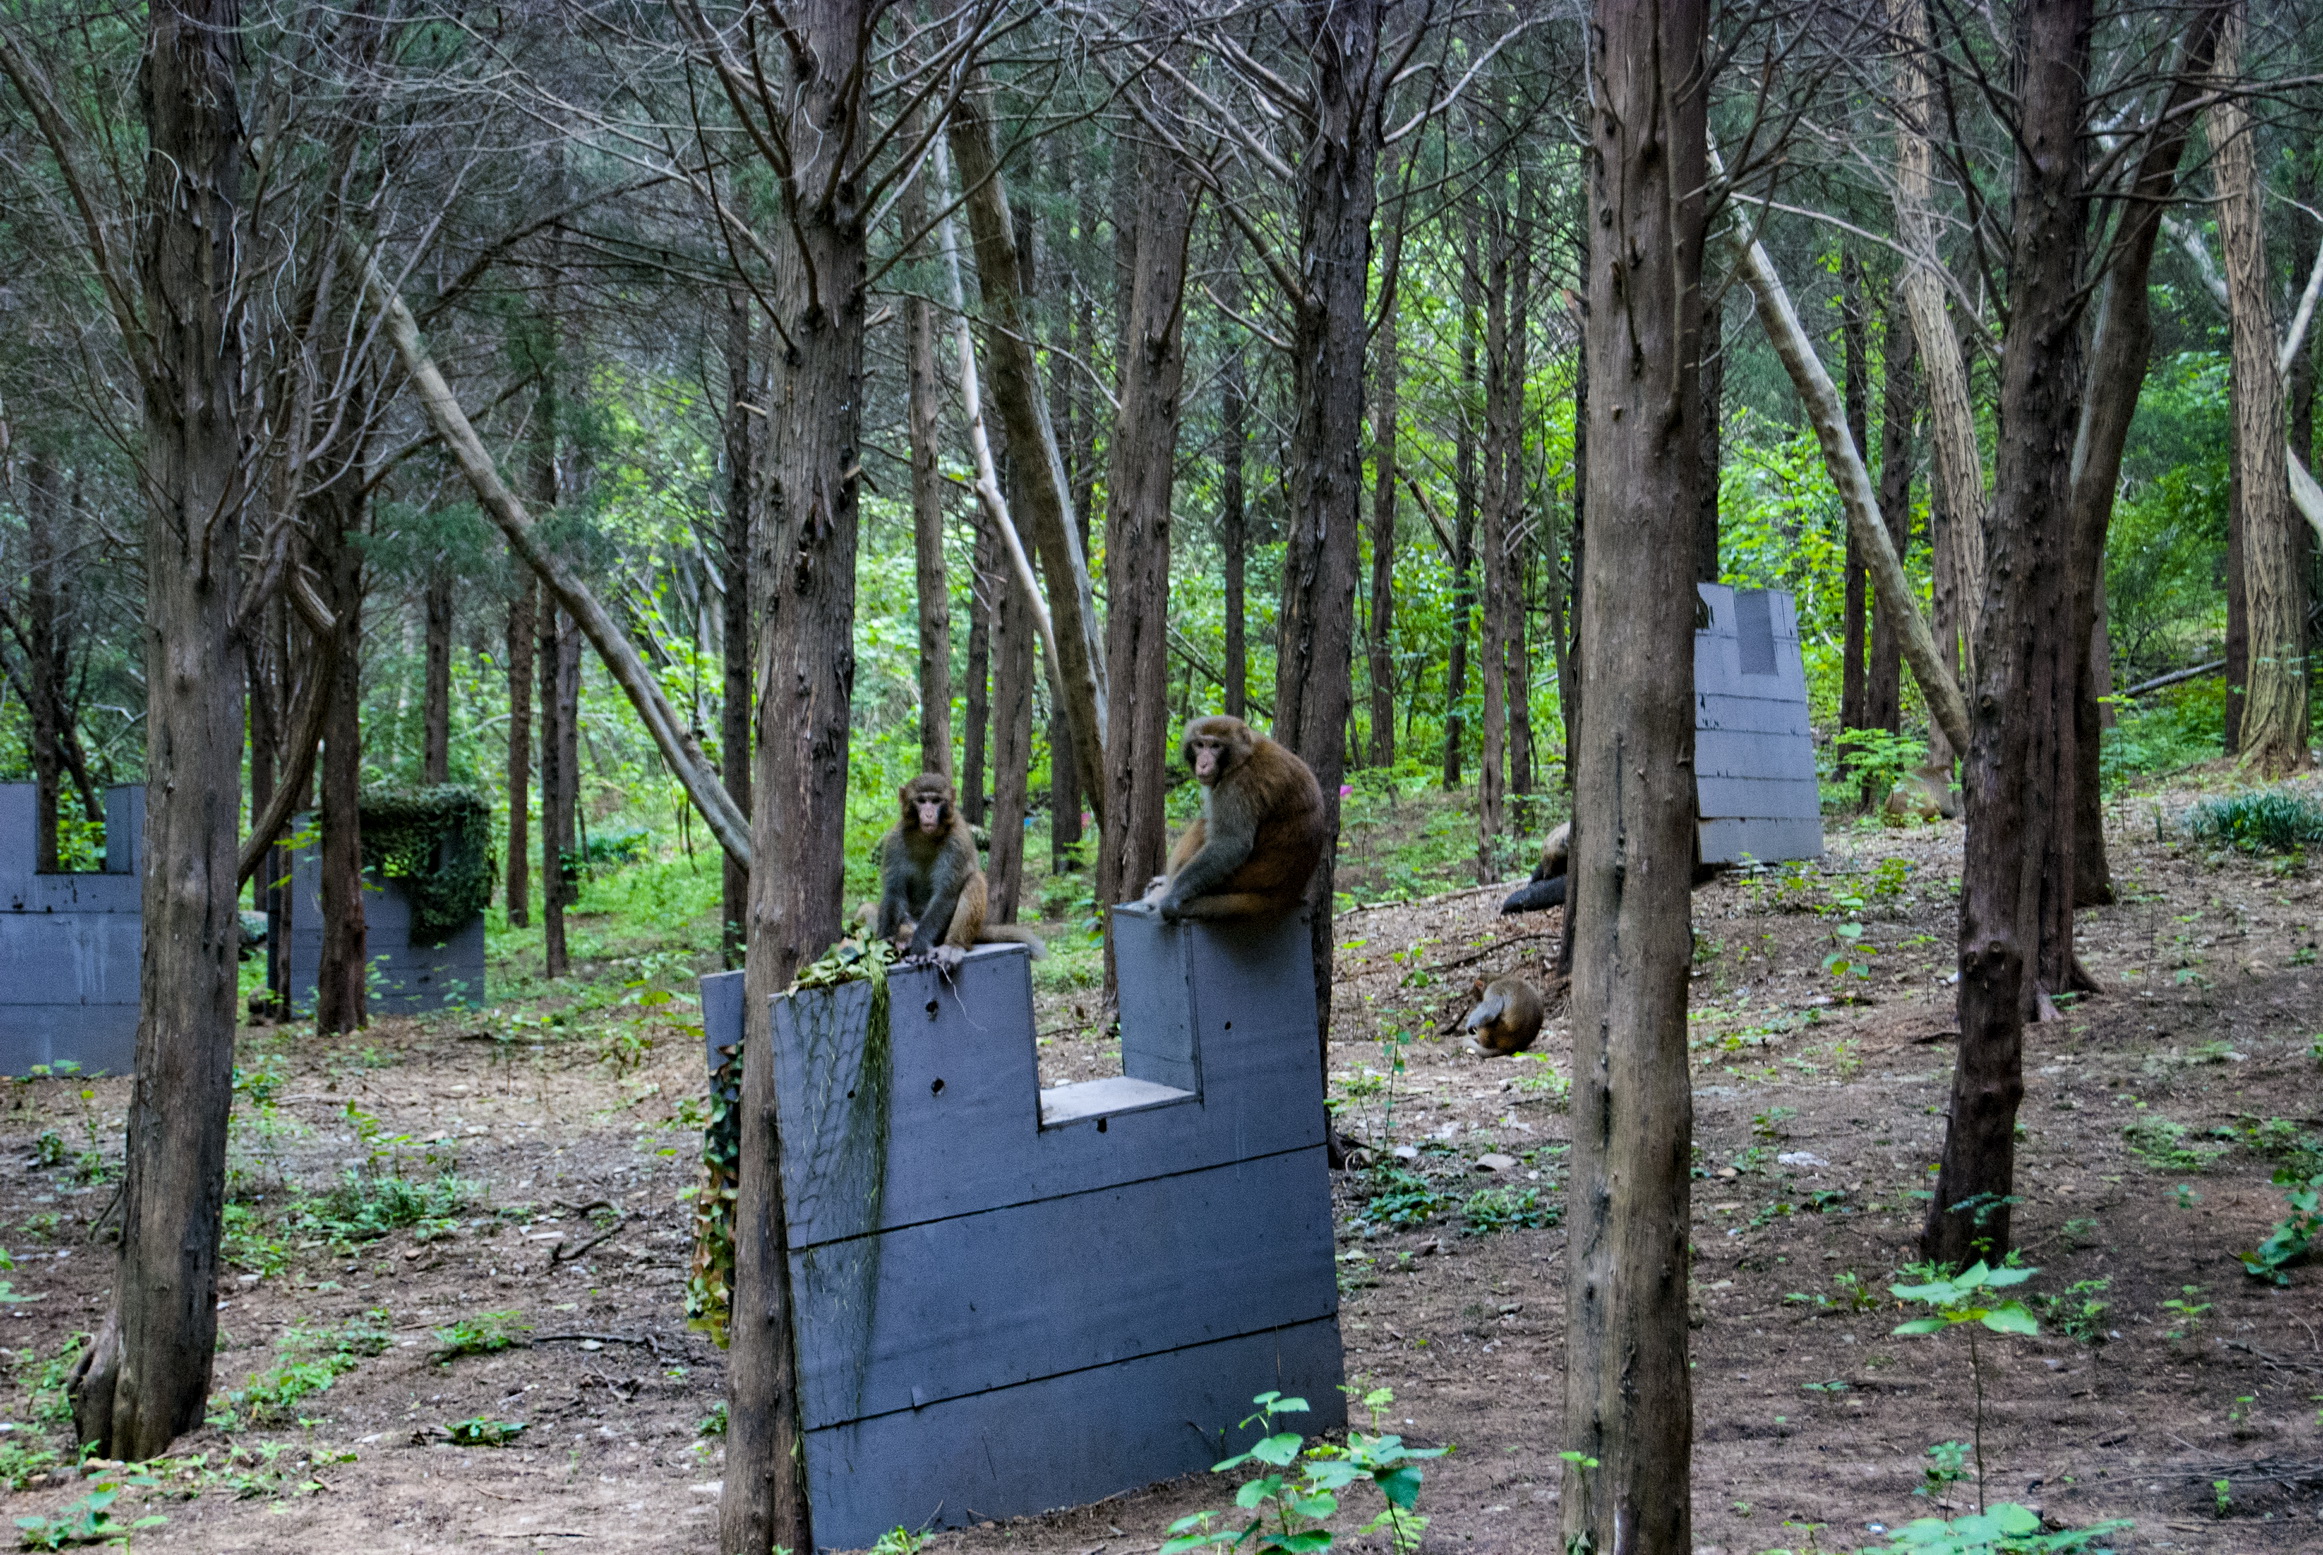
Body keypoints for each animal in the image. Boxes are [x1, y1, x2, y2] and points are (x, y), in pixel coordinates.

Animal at [873, 776, 1049, 971]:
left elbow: (946, 895)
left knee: (974, 880)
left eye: (936, 801)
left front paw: (919, 946)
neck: (926, 836)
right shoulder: (895, 841)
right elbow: (894, 893)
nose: (928, 814)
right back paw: (904, 940)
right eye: (921, 801)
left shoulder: (957, 843)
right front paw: (884, 943)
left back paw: (952, 945)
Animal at [1147, 715, 1328, 920]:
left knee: (1203, 826)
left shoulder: (1237, 784)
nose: (1203, 764)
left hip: (1239, 880)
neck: (1242, 758)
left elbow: (1232, 843)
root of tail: (1285, 893)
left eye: (1215, 746)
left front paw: (1173, 896)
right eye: (1199, 745)